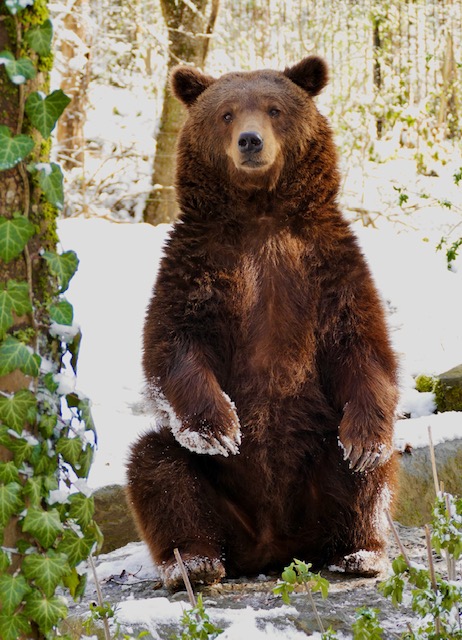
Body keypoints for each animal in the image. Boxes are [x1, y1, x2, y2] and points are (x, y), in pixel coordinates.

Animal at [126, 55, 398, 592]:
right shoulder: (197, 264)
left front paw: (365, 440)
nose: (250, 141)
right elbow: (174, 344)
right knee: (157, 465)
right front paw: (219, 430)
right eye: (227, 114)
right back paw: (194, 562)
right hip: (221, 504)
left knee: (367, 476)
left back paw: (360, 550)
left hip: (320, 461)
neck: (261, 214)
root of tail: (273, 546)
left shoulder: (327, 264)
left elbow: (362, 345)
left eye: (274, 108)